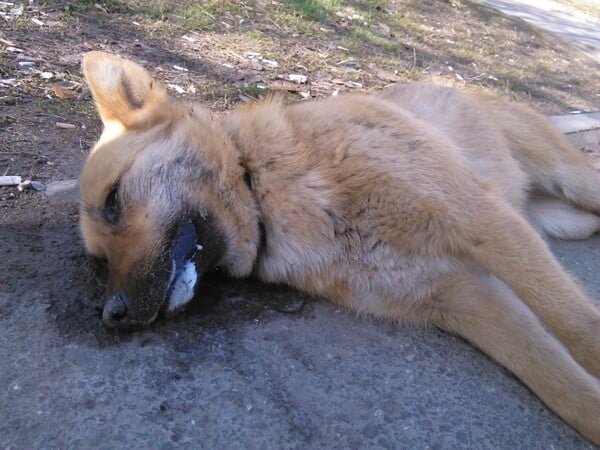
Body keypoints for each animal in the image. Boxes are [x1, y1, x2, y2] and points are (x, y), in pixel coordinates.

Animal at [79, 51, 600, 442]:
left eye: (113, 202)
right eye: (99, 261)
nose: (112, 314)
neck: (265, 185)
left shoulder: (478, 218)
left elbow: (578, 326)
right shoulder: (467, 299)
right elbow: (563, 388)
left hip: (572, 183)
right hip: (559, 221)